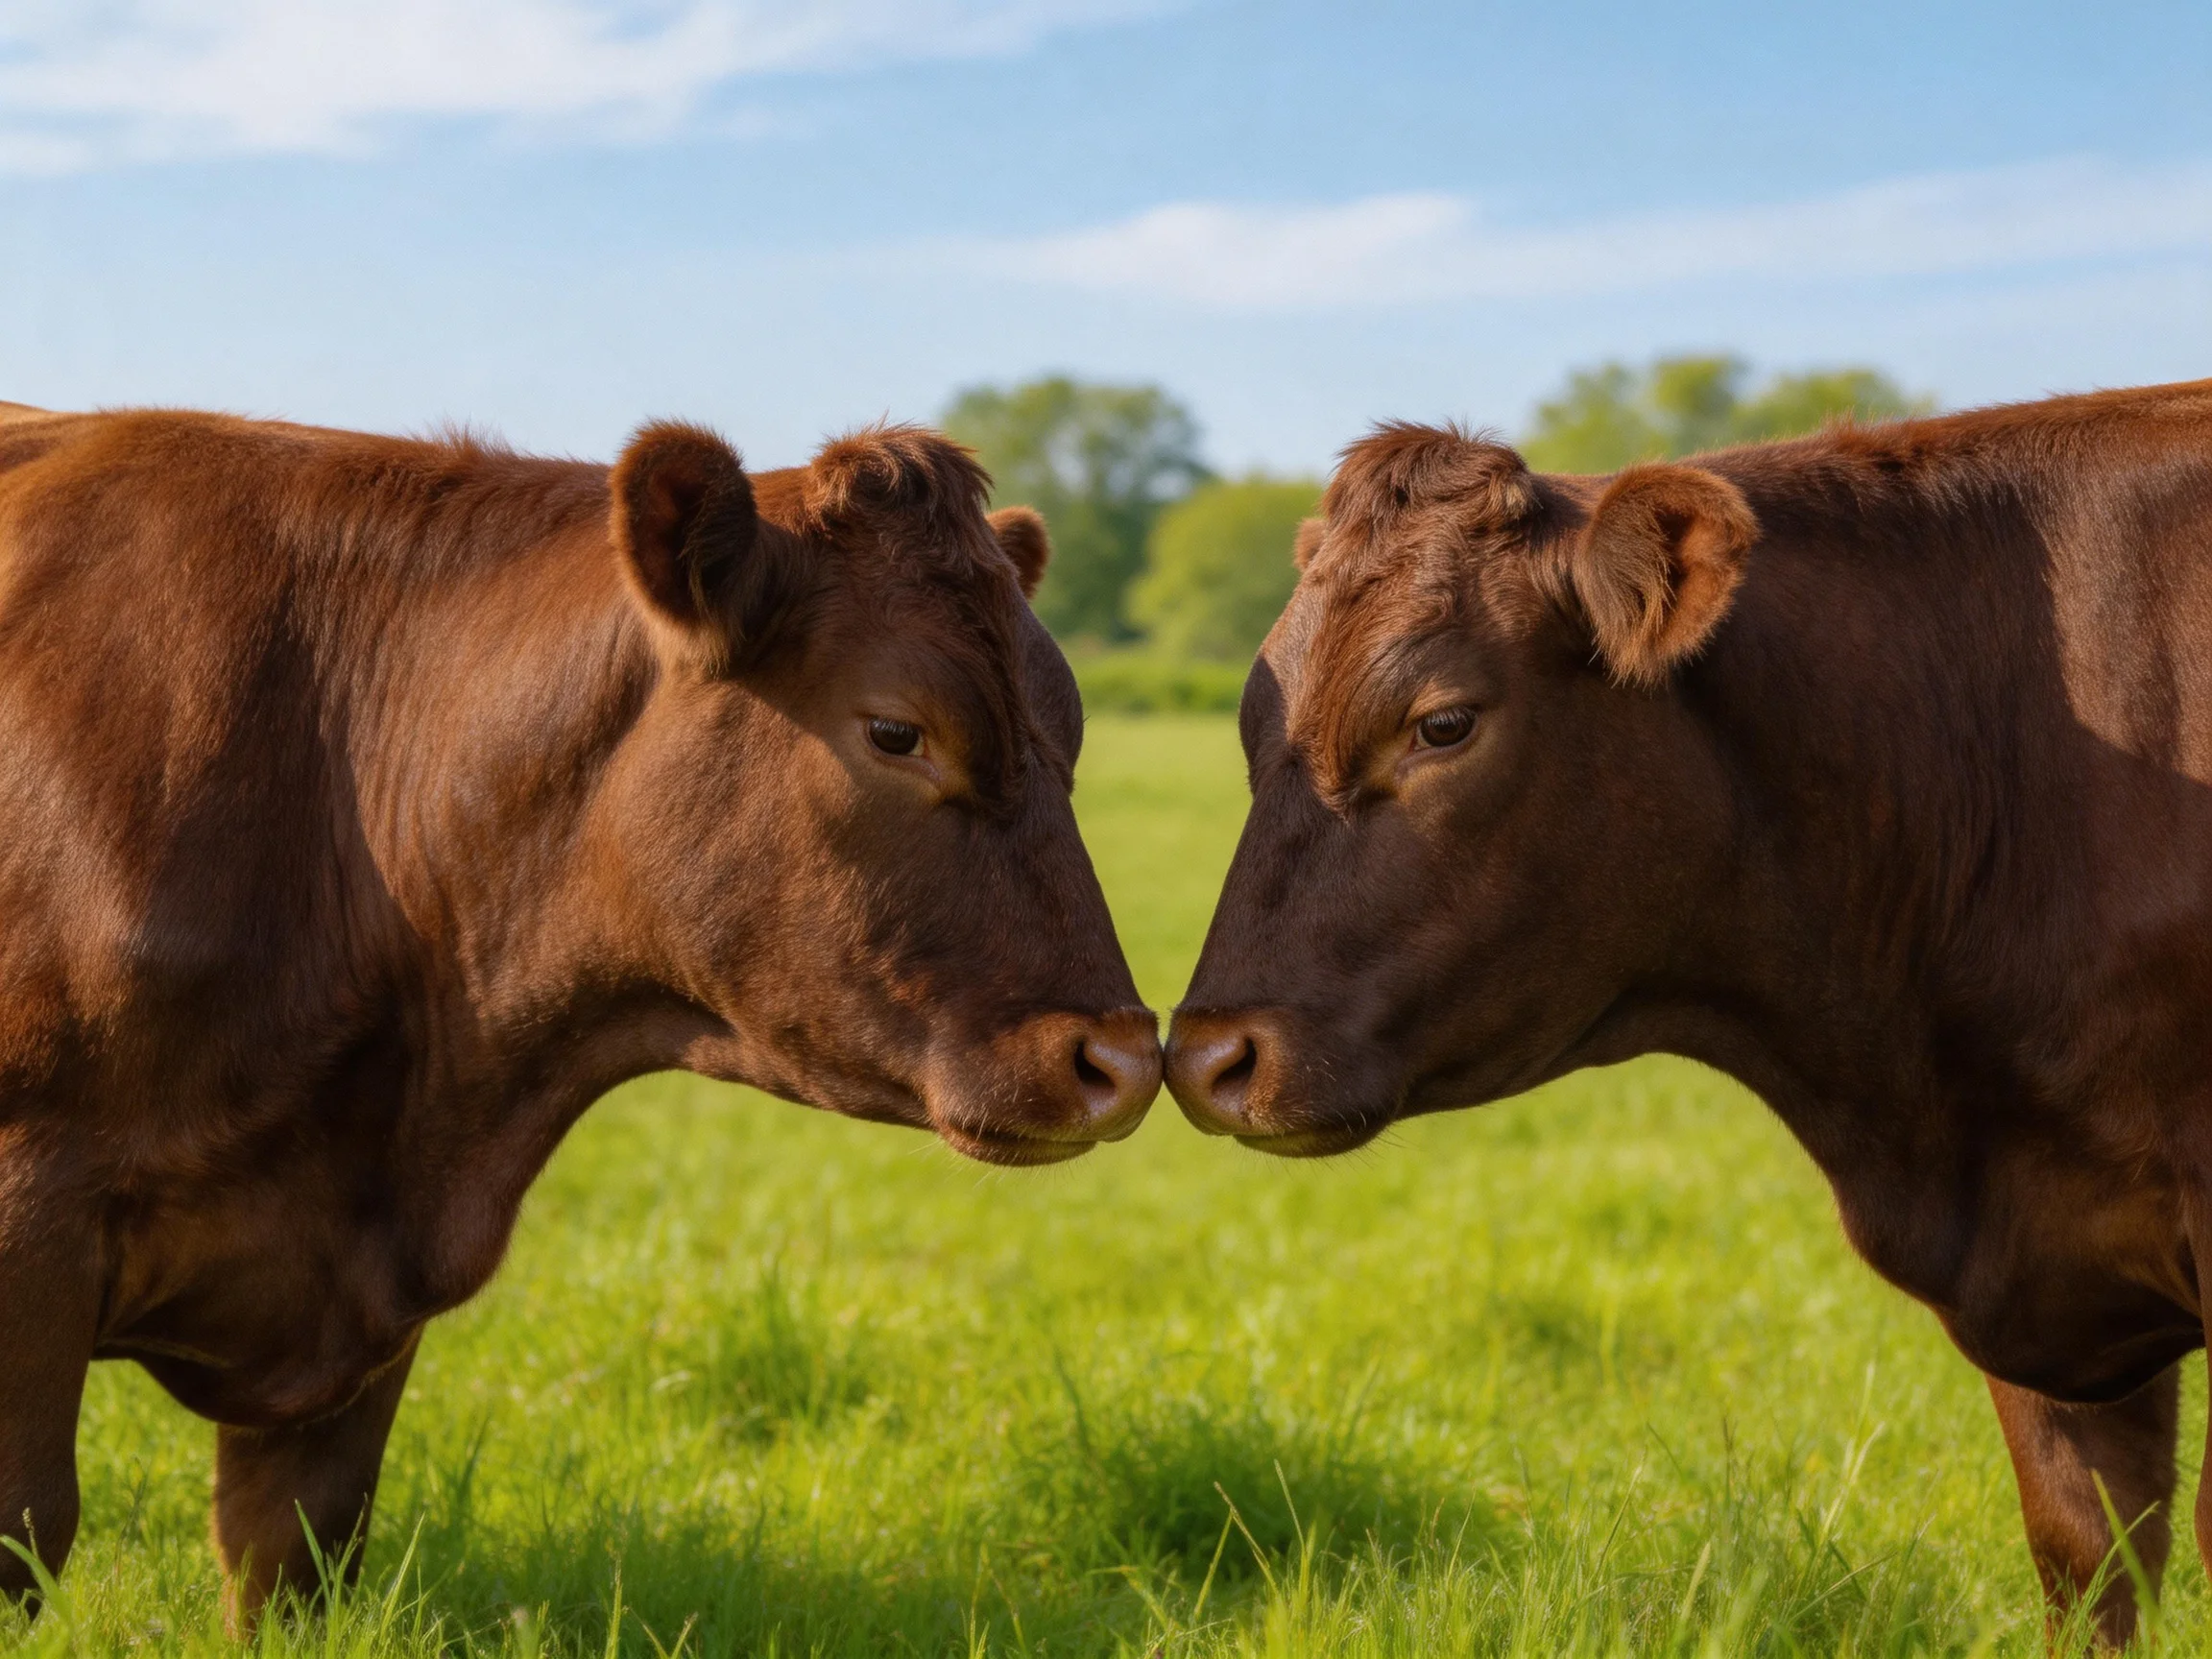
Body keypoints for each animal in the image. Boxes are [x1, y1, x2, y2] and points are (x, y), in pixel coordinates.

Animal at [0, 402, 1160, 1623]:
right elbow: (29, 1524)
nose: (1123, 1059)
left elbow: (294, 1550)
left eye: (1071, 737)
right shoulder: (34, 1211)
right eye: (898, 731)